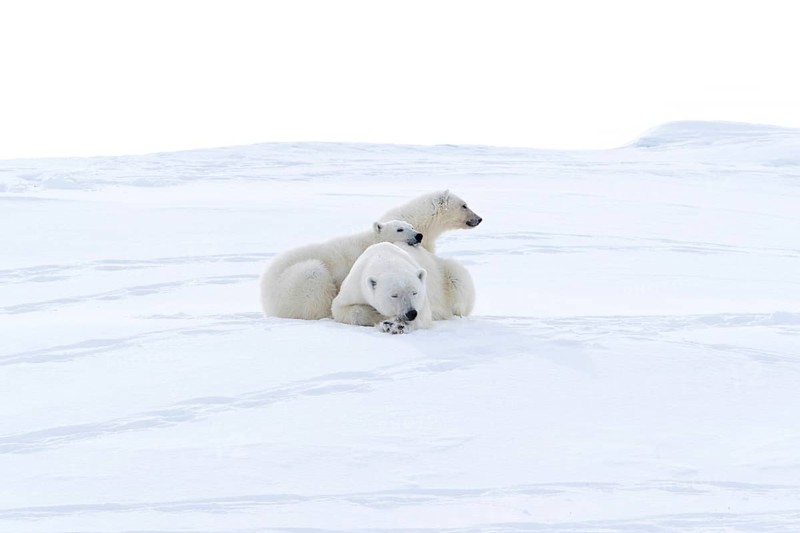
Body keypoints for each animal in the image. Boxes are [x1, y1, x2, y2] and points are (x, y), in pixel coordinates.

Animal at [260, 220, 423, 320]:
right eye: (399, 229)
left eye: (411, 226)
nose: (419, 235)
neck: (367, 243)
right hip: (292, 284)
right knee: (314, 277)